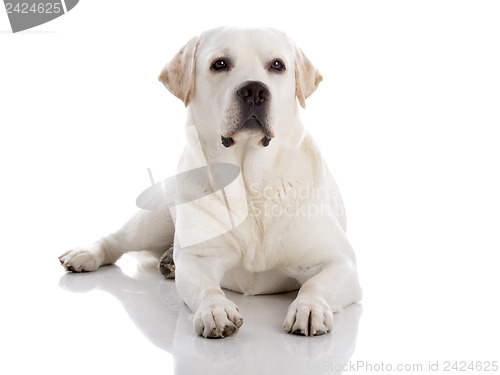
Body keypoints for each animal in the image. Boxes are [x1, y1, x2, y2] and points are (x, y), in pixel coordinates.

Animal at [60, 26, 362, 338]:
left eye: (277, 65)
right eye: (220, 64)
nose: (254, 91)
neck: (249, 181)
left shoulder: (340, 261)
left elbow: (315, 283)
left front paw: (309, 308)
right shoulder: (198, 260)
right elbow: (207, 288)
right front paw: (216, 310)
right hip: (156, 217)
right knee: (118, 239)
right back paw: (87, 254)